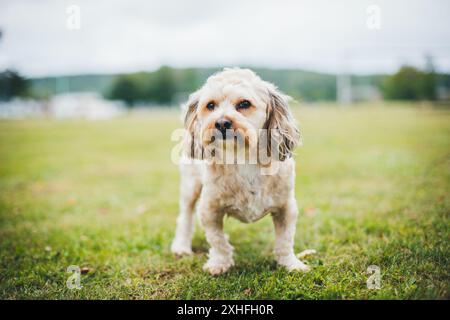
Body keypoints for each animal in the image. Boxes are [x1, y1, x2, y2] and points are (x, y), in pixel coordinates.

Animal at [169, 67, 310, 276]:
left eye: (244, 104)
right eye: (210, 105)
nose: (221, 123)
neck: (242, 158)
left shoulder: (286, 207)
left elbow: (285, 241)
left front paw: (290, 264)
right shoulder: (209, 209)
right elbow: (218, 241)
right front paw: (219, 263)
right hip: (190, 186)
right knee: (185, 216)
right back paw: (181, 246)